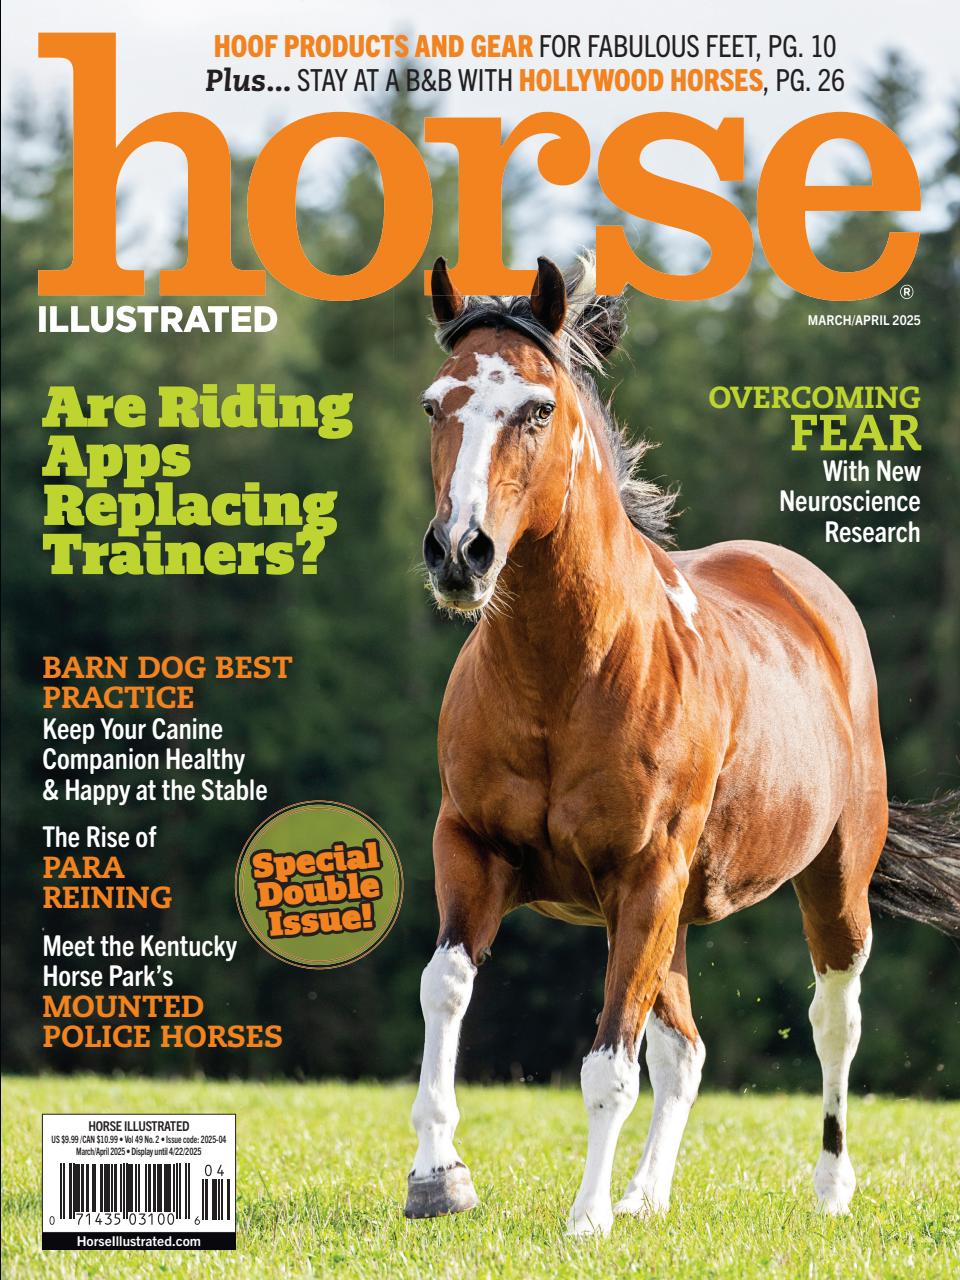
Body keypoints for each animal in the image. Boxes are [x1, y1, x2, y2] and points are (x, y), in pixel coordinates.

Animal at [404, 254, 960, 1235]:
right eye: (438, 403)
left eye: (537, 409)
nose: (459, 554)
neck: (566, 674)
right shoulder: (471, 848)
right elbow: (447, 989)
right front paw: (439, 1178)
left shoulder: (646, 875)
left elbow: (607, 1064)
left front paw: (585, 1218)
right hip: (670, 913)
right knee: (687, 1049)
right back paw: (646, 1195)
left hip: (829, 884)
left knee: (833, 1019)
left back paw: (830, 1189)